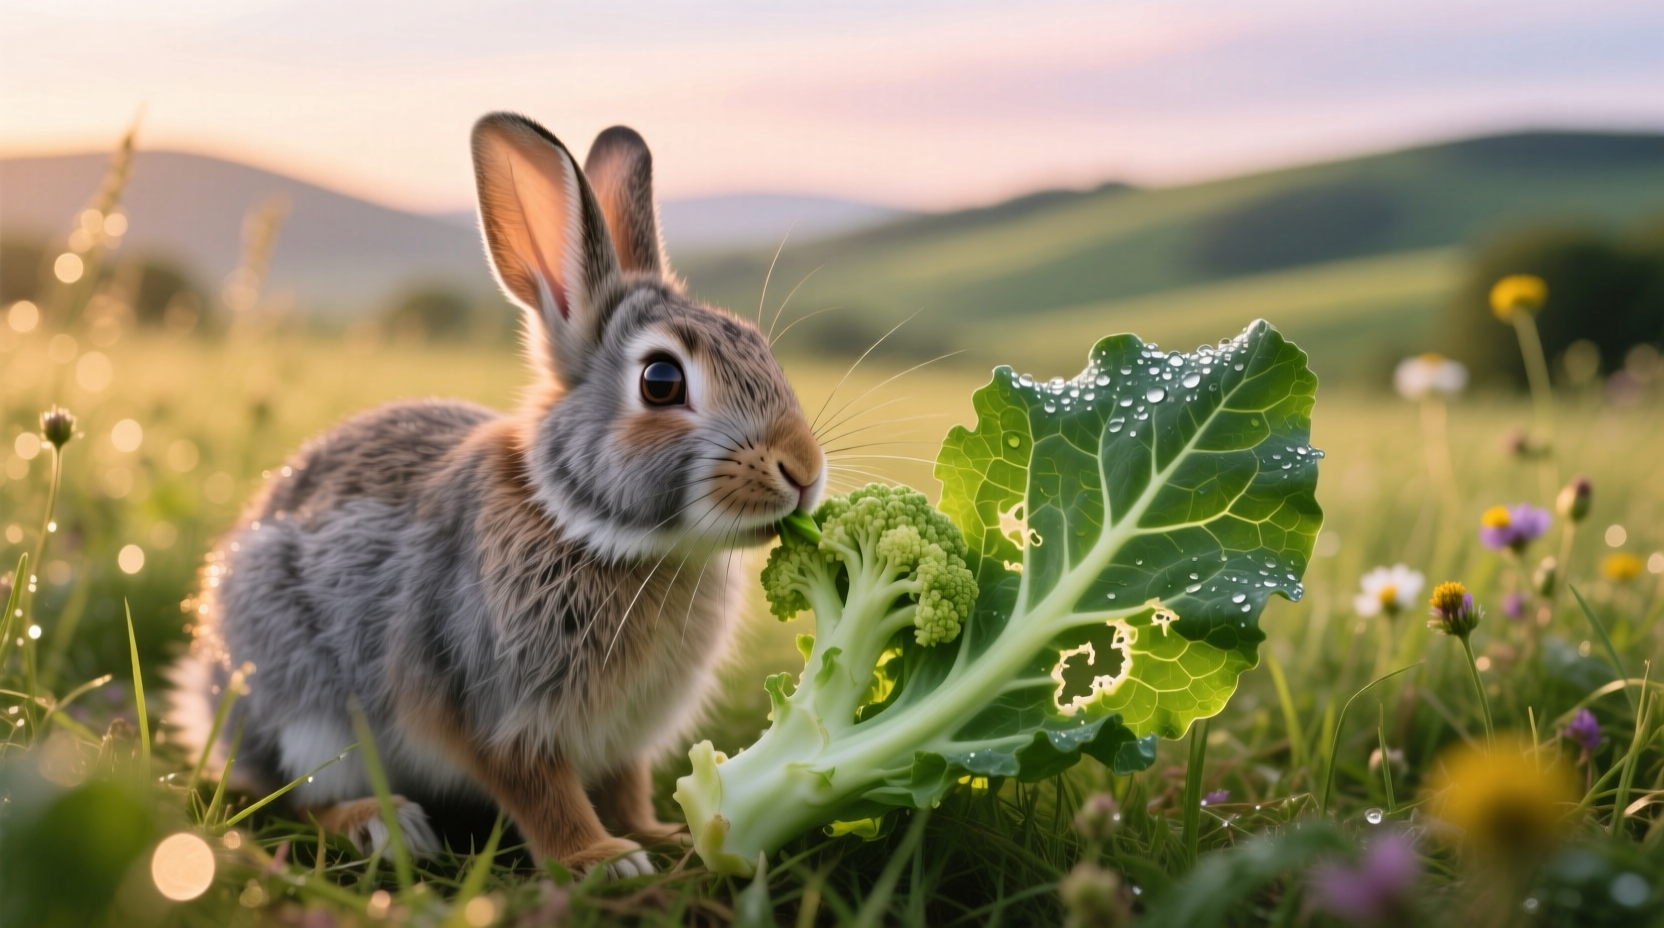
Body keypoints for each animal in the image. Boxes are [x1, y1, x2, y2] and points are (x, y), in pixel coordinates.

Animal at [167, 112, 826, 877]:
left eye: (759, 345)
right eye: (661, 381)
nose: (804, 470)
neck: (585, 526)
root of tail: (211, 702)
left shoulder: (623, 735)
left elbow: (625, 784)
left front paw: (661, 835)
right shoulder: (493, 708)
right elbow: (539, 791)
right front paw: (603, 859)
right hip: (303, 709)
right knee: (295, 797)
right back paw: (383, 826)